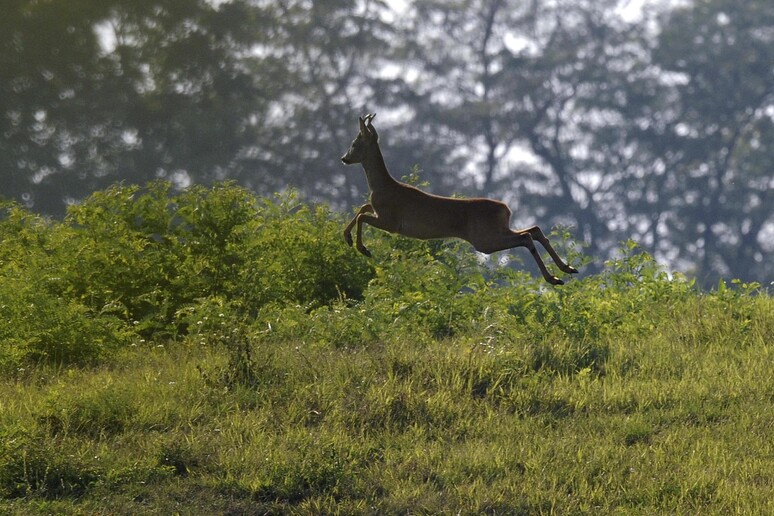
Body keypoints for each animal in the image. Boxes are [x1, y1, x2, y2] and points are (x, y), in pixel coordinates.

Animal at [342, 112, 580, 286]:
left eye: (354, 143)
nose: (344, 158)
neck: (382, 186)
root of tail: (506, 209)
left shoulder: (391, 222)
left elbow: (363, 215)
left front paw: (361, 247)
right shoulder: (381, 214)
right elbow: (363, 208)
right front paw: (347, 238)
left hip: (484, 240)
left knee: (526, 237)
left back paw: (554, 278)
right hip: (496, 232)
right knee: (534, 230)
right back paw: (566, 269)